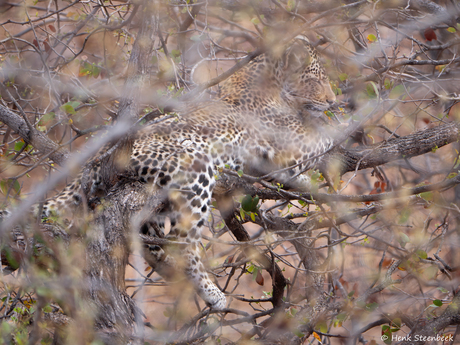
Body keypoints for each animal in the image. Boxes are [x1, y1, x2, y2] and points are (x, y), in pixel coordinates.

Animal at [5, 35, 336, 310]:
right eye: (315, 79)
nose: (334, 100)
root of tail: (95, 162)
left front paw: (304, 178)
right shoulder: (284, 147)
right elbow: (322, 137)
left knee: (155, 239)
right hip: (196, 166)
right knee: (181, 244)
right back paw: (212, 293)